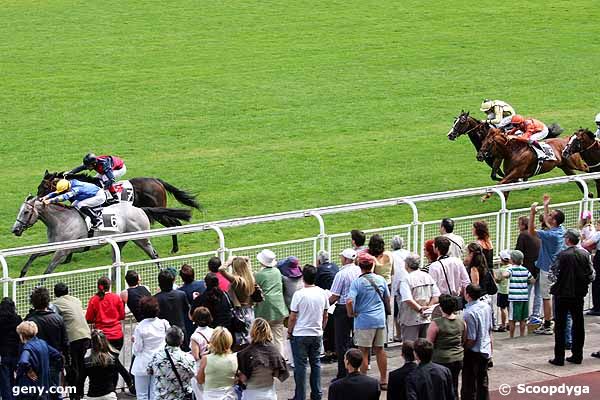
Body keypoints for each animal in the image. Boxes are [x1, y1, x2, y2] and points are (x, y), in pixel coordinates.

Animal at [11, 197, 192, 278]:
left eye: (26, 212)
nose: (15, 230)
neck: (61, 221)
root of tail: (140, 209)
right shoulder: (53, 246)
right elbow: (33, 254)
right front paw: (21, 277)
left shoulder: (63, 250)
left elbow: (48, 271)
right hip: (120, 241)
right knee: (116, 261)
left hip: (141, 238)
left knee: (154, 255)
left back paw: (164, 273)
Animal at [38, 170, 202, 253]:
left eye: (44, 186)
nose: (37, 199)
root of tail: (157, 181)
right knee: (174, 222)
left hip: (158, 210)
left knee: (173, 223)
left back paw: (174, 248)